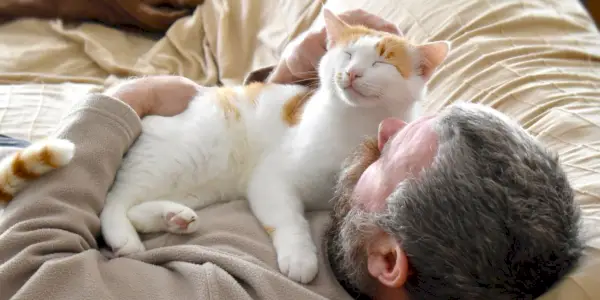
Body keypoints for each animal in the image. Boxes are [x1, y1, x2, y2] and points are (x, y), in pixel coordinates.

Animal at [0, 9, 450, 284]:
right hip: (177, 158)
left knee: (134, 206)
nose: (352, 73)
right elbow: (288, 220)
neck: (350, 125)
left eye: (382, 61)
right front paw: (300, 257)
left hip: (199, 184)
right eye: (346, 54)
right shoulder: (271, 180)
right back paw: (127, 236)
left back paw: (172, 218)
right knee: (114, 201)